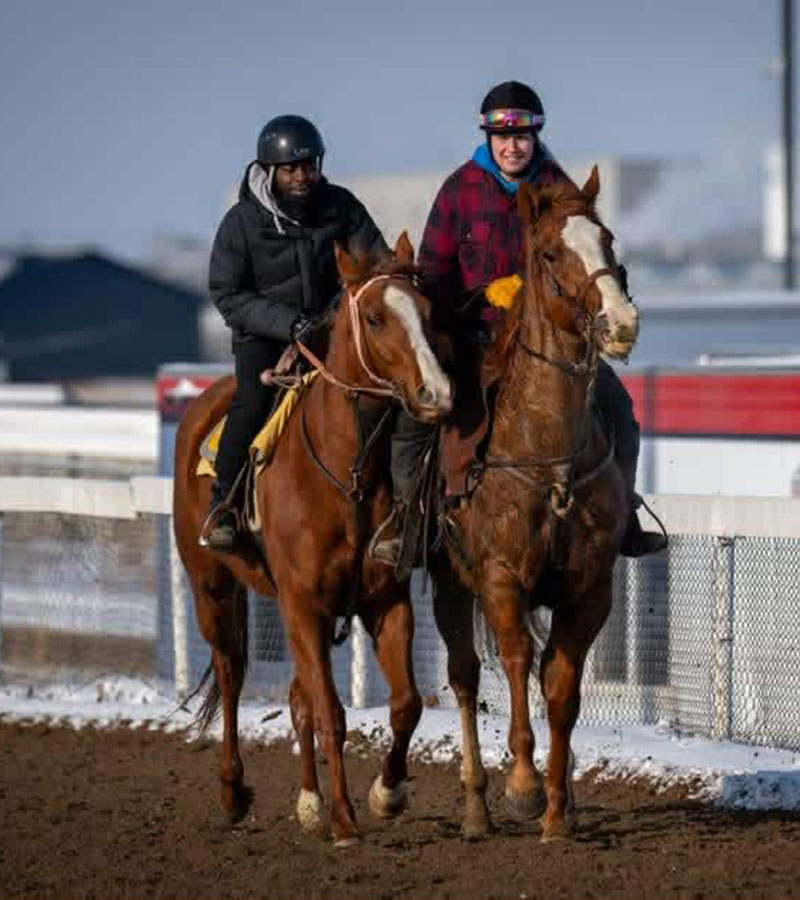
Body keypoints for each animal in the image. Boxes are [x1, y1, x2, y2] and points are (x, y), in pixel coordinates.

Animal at [172, 233, 453, 846]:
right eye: (374, 317)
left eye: (427, 312)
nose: (438, 393)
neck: (345, 471)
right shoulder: (302, 603)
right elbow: (332, 714)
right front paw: (345, 820)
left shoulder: (381, 598)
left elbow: (405, 704)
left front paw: (386, 793)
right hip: (213, 589)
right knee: (231, 674)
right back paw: (234, 791)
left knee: (297, 697)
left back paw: (307, 800)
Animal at [432, 167, 639, 842]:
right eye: (550, 253)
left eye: (608, 240)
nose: (621, 322)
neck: (549, 458)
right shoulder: (501, 578)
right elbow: (519, 660)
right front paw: (522, 788)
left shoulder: (588, 586)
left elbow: (562, 685)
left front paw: (556, 810)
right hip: (449, 585)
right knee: (465, 675)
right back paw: (476, 806)